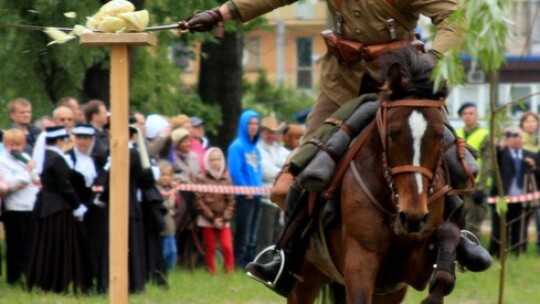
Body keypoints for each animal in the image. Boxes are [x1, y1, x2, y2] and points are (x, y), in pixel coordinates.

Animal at [292, 48, 464, 304]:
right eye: (393, 133)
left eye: (440, 135)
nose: (412, 216)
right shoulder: (360, 262)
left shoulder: (406, 273)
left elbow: (446, 246)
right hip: (306, 276)